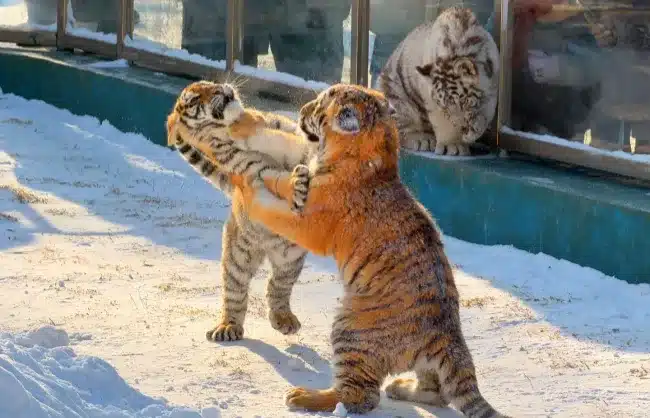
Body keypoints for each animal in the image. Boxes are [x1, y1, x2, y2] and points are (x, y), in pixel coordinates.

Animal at [165, 80, 317, 342]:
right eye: (194, 99)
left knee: (277, 286)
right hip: (237, 258)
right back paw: (228, 327)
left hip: (291, 257)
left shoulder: (288, 133)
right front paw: (296, 183)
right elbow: (277, 177)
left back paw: (283, 319)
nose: (221, 89)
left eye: (209, 85)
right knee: (236, 292)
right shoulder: (257, 171)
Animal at [229, 83, 511, 417]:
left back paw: (304, 397)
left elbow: (273, 208)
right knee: (437, 392)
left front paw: (249, 190)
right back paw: (401, 388)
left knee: (359, 396)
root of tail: (447, 334)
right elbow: (280, 175)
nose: (302, 110)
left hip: (350, 328)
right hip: (422, 362)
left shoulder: (308, 223)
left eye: (319, 105)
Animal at [379, 6, 499, 156]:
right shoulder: (430, 98)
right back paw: (423, 139)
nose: (462, 129)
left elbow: (487, 111)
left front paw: (475, 128)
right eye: (445, 107)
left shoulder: (492, 85)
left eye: (463, 102)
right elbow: (442, 122)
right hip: (396, 99)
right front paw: (452, 145)